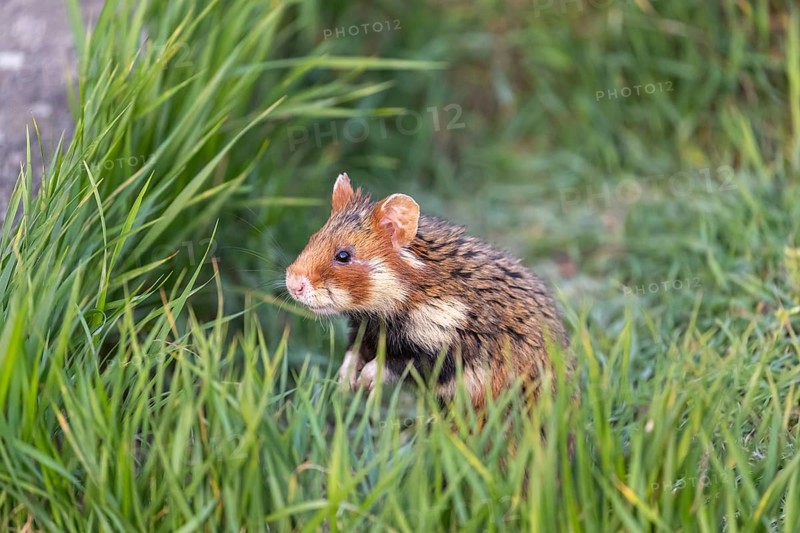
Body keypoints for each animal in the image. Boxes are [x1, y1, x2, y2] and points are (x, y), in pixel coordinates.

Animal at [285, 173, 570, 409]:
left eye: (343, 255)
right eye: (313, 237)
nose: (292, 284)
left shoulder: (447, 351)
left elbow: (394, 364)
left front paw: (365, 383)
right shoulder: (365, 330)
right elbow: (353, 353)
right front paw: (345, 383)